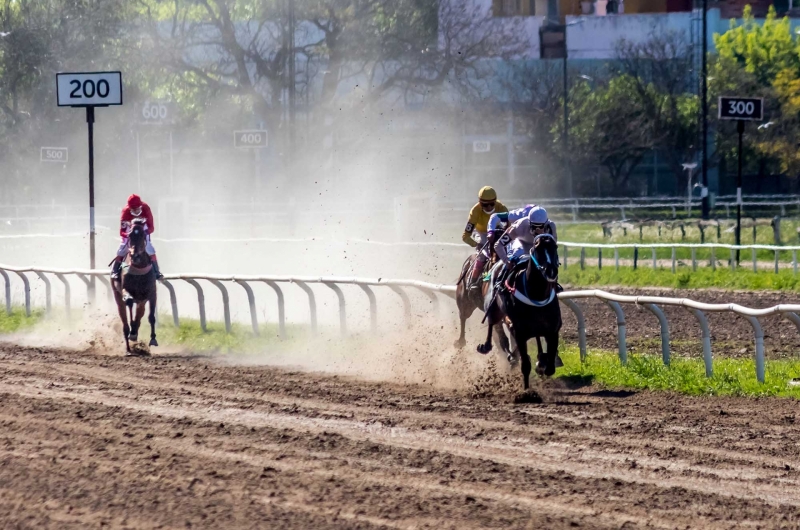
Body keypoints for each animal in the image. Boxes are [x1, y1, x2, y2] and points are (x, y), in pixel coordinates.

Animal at [111, 217, 159, 352]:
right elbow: (129, 302)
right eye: (129, 235)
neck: (138, 267)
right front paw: (132, 332)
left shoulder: (151, 293)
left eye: (142, 234)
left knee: (140, 312)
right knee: (124, 318)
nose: (135, 255)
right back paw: (128, 345)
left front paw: (153, 339)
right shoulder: (125, 290)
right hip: (117, 296)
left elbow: (151, 316)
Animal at [476, 234, 564, 388]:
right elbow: (526, 365)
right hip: (494, 308)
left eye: (555, 247)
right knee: (492, 322)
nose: (551, 271)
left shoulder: (552, 331)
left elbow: (550, 367)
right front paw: (527, 390)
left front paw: (542, 363)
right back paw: (486, 346)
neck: (536, 295)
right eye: (537, 248)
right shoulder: (520, 333)